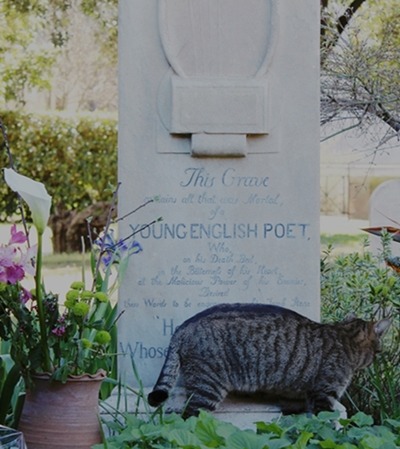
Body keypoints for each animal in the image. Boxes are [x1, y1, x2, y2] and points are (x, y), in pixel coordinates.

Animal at [148, 303, 390, 418]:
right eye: (378, 351)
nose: (375, 359)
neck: (344, 336)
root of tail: (183, 326)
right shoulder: (324, 394)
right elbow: (325, 423)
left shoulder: (309, 395)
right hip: (208, 388)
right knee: (188, 420)